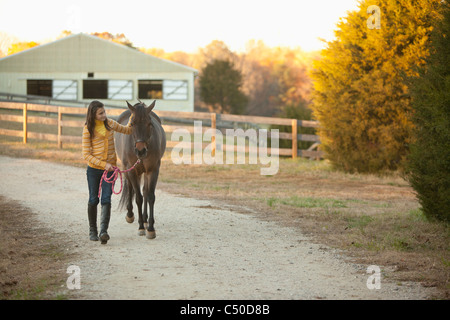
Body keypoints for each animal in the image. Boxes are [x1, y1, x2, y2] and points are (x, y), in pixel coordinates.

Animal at [115, 100, 166, 238]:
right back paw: (131, 215)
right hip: (129, 170)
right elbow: (138, 197)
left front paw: (151, 228)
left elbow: (150, 196)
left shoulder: (153, 170)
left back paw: (144, 218)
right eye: (132, 123)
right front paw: (141, 227)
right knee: (131, 189)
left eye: (149, 123)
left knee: (145, 191)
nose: (141, 150)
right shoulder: (132, 171)